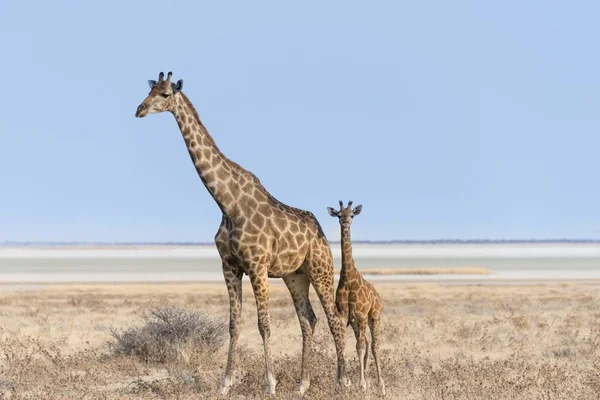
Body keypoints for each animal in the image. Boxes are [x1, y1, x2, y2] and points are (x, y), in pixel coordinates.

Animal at [135, 72, 346, 396]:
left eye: (165, 94)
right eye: (149, 90)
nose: (140, 109)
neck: (227, 202)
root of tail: (320, 230)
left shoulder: (257, 266)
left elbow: (264, 324)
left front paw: (270, 384)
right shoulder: (230, 266)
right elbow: (234, 324)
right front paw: (225, 383)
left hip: (320, 269)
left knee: (334, 318)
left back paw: (345, 381)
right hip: (294, 275)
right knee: (308, 319)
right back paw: (302, 384)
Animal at [328, 202, 384, 396]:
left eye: (351, 215)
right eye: (339, 215)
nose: (345, 222)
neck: (348, 277)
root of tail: (377, 295)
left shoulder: (360, 315)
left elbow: (359, 348)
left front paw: (362, 384)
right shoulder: (345, 315)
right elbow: (342, 344)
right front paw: (340, 381)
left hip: (374, 316)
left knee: (374, 346)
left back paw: (380, 385)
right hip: (355, 322)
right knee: (366, 343)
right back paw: (366, 375)